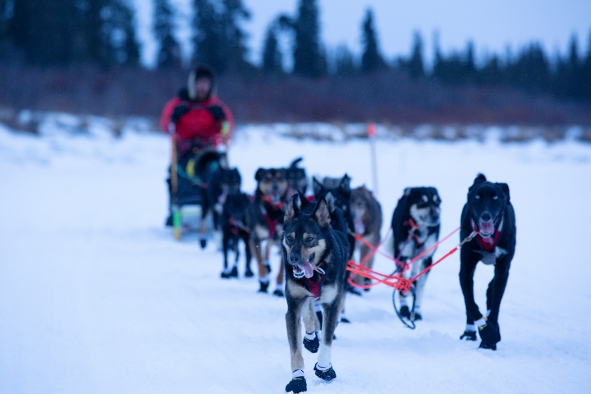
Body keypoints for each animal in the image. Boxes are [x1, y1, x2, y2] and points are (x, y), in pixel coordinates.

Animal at [284, 195, 350, 392]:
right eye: (289, 238)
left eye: (310, 239)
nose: (293, 258)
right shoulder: (293, 307)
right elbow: (295, 349)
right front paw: (297, 379)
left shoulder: (331, 305)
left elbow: (327, 340)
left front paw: (324, 368)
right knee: (309, 311)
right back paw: (311, 338)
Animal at [390, 187, 442, 320]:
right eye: (422, 202)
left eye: (437, 202)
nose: (436, 216)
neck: (418, 231)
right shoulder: (401, 258)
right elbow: (402, 280)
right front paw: (404, 307)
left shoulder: (427, 259)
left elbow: (420, 287)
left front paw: (416, 311)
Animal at [460, 174, 516, 350]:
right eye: (477, 197)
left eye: (495, 197)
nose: (486, 215)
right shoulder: (465, 270)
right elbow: (470, 303)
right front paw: (487, 332)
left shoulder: (502, 270)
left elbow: (495, 302)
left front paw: (489, 338)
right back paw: (469, 332)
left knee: (490, 291)